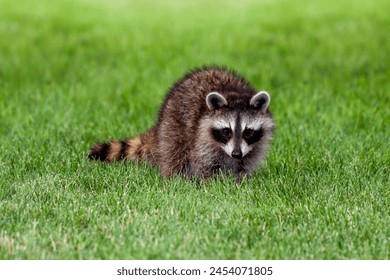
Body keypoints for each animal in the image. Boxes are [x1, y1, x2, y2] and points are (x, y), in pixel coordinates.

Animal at [90, 66, 276, 182]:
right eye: (226, 131)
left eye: (248, 132)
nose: (236, 154)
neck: (234, 93)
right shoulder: (201, 137)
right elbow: (204, 163)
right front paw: (212, 184)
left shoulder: (254, 146)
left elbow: (246, 163)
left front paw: (241, 182)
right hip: (173, 124)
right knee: (175, 152)